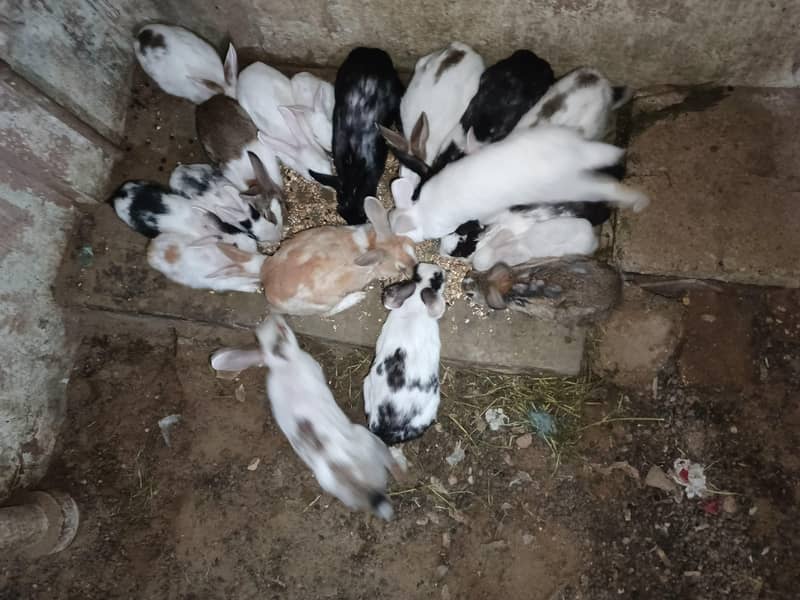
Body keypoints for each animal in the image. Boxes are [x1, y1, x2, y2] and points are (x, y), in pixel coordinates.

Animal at [210, 315, 405, 519]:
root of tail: (361, 483)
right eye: (281, 329)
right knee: (391, 463)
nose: (276, 316)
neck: (282, 362)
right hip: (367, 437)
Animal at [260, 197, 417, 316]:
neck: (370, 245)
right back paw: (357, 297)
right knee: (327, 313)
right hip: (327, 302)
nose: (414, 268)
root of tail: (269, 292)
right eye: (401, 268)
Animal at [388, 125, 648, 243]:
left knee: (608, 187)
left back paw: (639, 201)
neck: (421, 210)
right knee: (605, 153)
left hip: (573, 187)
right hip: (581, 147)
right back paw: (622, 154)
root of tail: (569, 157)